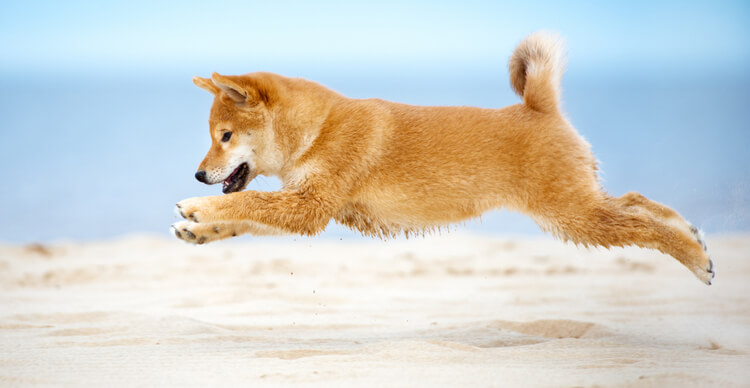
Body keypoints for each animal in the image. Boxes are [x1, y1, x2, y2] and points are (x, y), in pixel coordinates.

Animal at [172, 31, 716, 284]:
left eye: (224, 136)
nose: (198, 174)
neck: (318, 129)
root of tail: (538, 107)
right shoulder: (304, 201)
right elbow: (246, 216)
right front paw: (201, 229)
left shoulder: (308, 206)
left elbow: (248, 204)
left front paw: (200, 209)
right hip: (578, 208)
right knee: (638, 202)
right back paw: (690, 233)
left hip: (571, 215)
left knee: (639, 223)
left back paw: (693, 258)